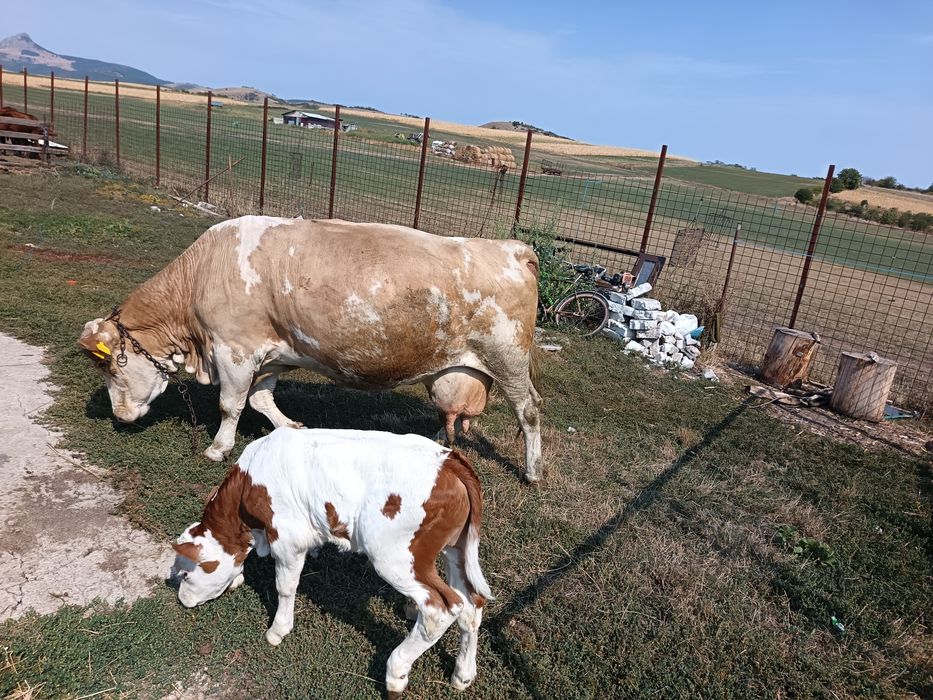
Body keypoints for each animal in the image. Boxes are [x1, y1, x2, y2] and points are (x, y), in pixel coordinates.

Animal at [79, 216, 545, 480]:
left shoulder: (234, 349)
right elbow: (261, 399)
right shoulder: (269, 354)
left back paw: (533, 470)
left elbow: (231, 404)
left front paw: (217, 448)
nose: (120, 416)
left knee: (529, 411)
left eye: (112, 367)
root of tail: (509, 248)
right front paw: (290, 428)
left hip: (508, 359)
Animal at [170, 426, 493, 696]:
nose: (182, 601)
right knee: (471, 603)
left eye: (185, 575)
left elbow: (285, 587)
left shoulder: (287, 538)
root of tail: (448, 459)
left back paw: (396, 673)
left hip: (394, 556)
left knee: (441, 608)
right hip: (454, 548)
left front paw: (277, 630)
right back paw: (463, 674)